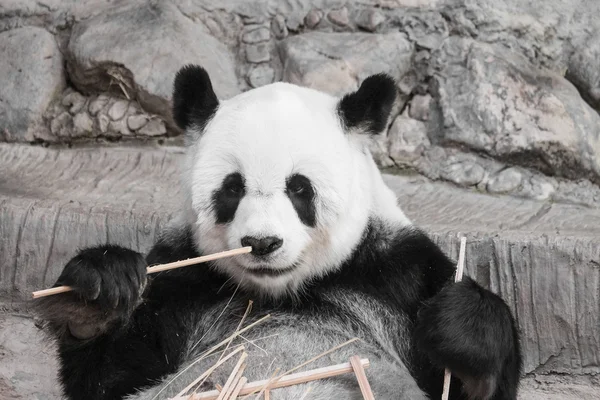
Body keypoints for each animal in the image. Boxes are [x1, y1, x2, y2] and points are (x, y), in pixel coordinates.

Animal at [34, 65, 520, 400]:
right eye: (232, 188)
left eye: (300, 188)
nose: (262, 243)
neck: (284, 292)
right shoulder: (183, 283)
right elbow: (111, 378)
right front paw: (97, 293)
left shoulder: (394, 274)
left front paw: (461, 332)